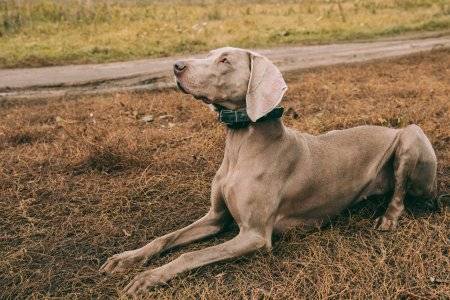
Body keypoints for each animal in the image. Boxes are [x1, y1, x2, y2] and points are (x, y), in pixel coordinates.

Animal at [100, 47, 438, 296]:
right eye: (211, 54)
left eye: (225, 60)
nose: (176, 66)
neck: (241, 144)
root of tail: (392, 128)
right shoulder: (215, 217)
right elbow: (166, 238)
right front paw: (127, 259)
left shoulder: (254, 235)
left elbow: (190, 254)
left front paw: (149, 277)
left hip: (411, 135)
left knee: (401, 193)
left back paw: (388, 217)